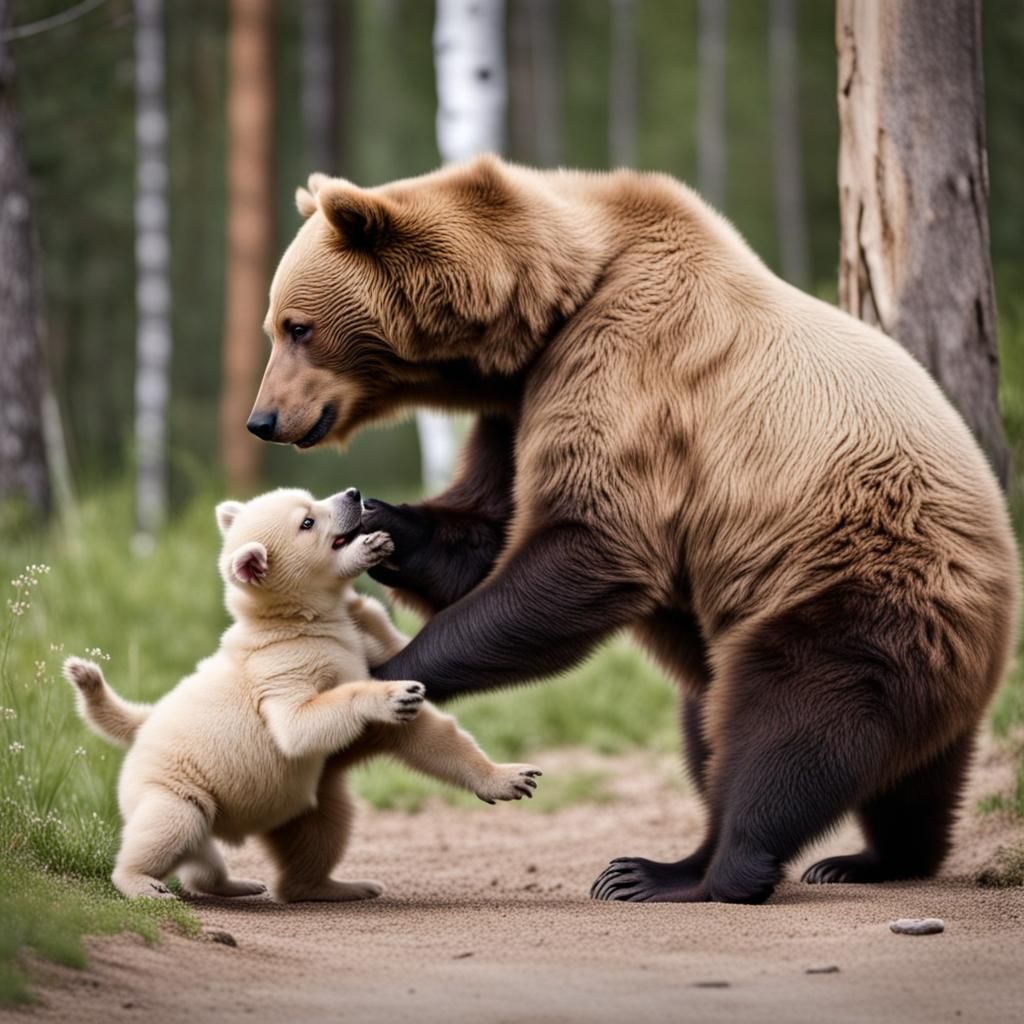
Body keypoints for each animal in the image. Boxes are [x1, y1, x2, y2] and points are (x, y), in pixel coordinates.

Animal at [64, 485, 541, 901]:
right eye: (307, 522)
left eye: (312, 500)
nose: (353, 494)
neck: (295, 621)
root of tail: (145, 726)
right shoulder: (283, 668)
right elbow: (297, 725)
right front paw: (392, 695)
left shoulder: (356, 643)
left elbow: (426, 724)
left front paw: (511, 777)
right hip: (175, 783)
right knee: (171, 825)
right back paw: (143, 882)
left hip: (287, 803)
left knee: (318, 828)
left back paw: (305, 885)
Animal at [247, 155, 1019, 904]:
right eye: (276, 325)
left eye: (297, 326)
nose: (264, 418)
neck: (555, 305)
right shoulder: (519, 403)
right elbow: (487, 527)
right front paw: (379, 522)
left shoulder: (626, 368)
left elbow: (586, 548)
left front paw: (391, 673)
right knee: (846, 766)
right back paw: (869, 858)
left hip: (858, 585)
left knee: (790, 724)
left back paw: (686, 871)